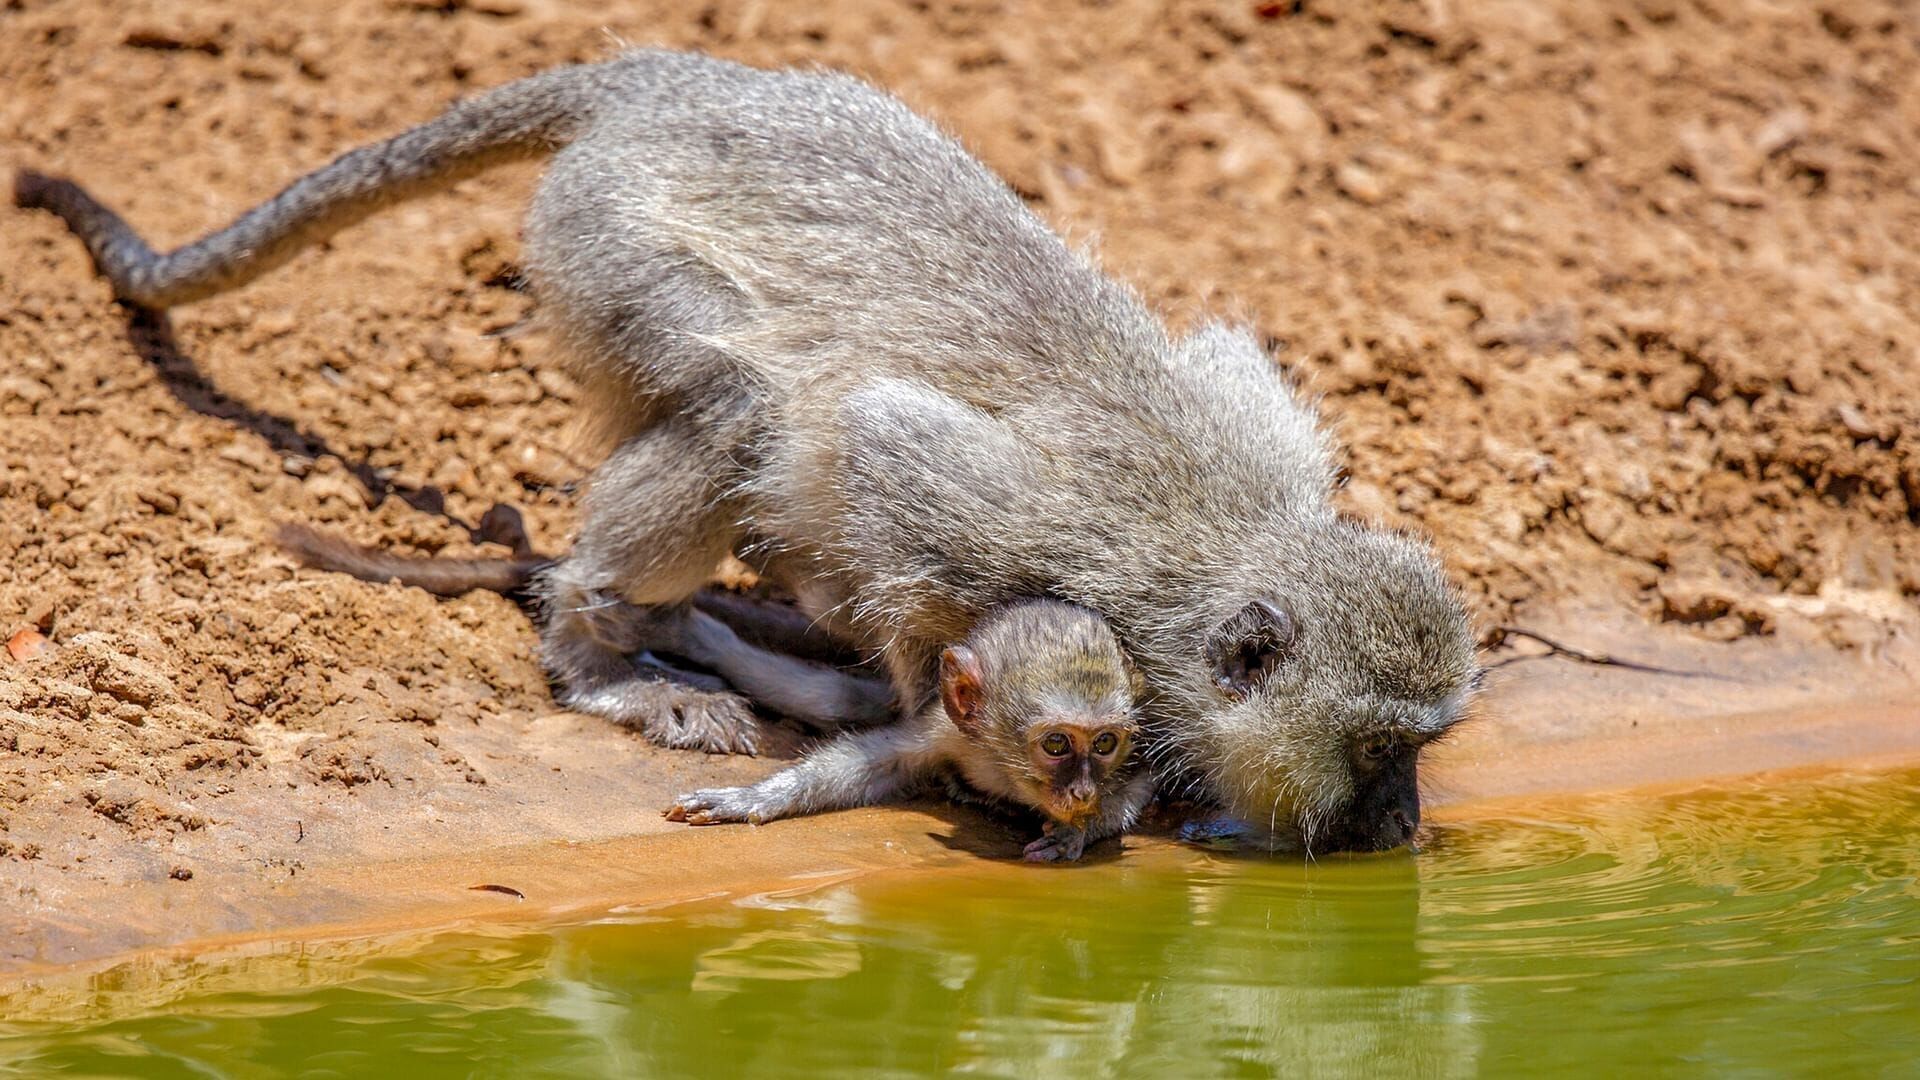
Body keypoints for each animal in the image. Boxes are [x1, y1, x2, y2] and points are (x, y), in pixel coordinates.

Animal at [668, 595, 1144, 857]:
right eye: (1057, 744)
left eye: (1104, 743)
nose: (1083, 792)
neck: (1004, 766)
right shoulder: (946, 731)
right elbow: (873, 762)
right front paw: (752, 798)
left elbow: (1141, 784)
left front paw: (1076, 832)